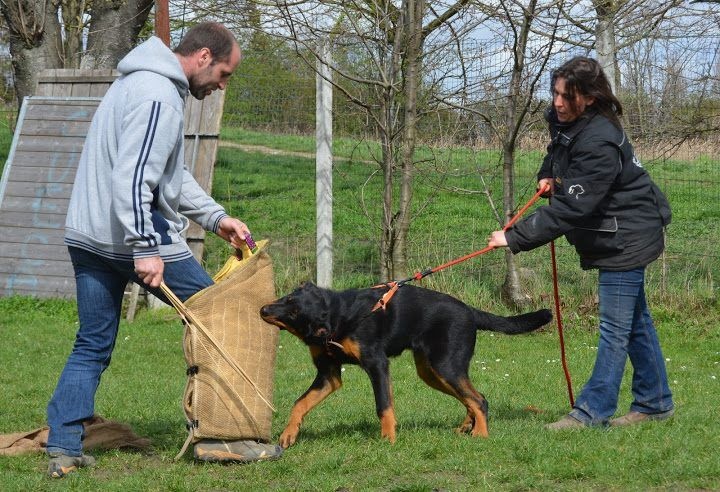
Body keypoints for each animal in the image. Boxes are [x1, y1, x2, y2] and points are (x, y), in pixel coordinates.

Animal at [258, 278, 552, 448]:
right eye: (287, 298)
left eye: (295, 313)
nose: (263, 309)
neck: (340, 317)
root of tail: (470, 310)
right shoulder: (329, 375)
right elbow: (300, 403)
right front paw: (288, 434)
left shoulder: (377, 364)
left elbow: (383, 406)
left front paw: (388, 439)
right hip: (431, 371)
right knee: (474, 397)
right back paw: (467, 427)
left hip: (445, 366)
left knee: (478, 399)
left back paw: (480, 434)